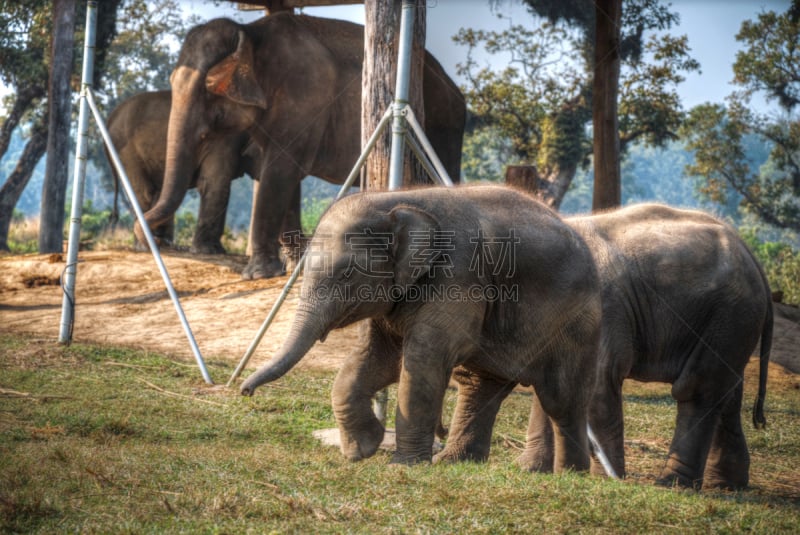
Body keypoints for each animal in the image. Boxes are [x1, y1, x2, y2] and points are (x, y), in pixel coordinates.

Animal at [108, 90, 302, 255]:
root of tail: (112, 116)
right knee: (145, 192)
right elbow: (215, 183)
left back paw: (161, 243)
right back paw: (148, 246)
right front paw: (210, 251)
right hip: (125, 152)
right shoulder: (223, 140)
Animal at [134, 13, 466, 280]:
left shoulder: (302, 96)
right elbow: (284, 175)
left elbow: (278, 172)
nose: (160, 242)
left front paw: (257, 275)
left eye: (208, 87)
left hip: (443, 124)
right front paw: (294, 268)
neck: (250, 32)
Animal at [241, 185, 604, 474]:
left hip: (577, 324)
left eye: (346, 274)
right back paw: (455, 462)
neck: (395, 202)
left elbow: (422, 362)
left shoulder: (457, 276)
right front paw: (361, 450)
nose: (245, 392)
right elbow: (375, 359)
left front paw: (401, 466)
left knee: (560, 397)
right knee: (480, 385)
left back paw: (568, 476)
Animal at [438, 203, 776, 492]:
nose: (438, 443)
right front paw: (529, 469)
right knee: (727, 394)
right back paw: (727, 486)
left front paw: (601, 480)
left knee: (697, 389)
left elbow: (595, 384)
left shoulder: (600, 313)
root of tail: (752, 258)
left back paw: (672, 484)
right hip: (730, 323)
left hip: (729, 316)